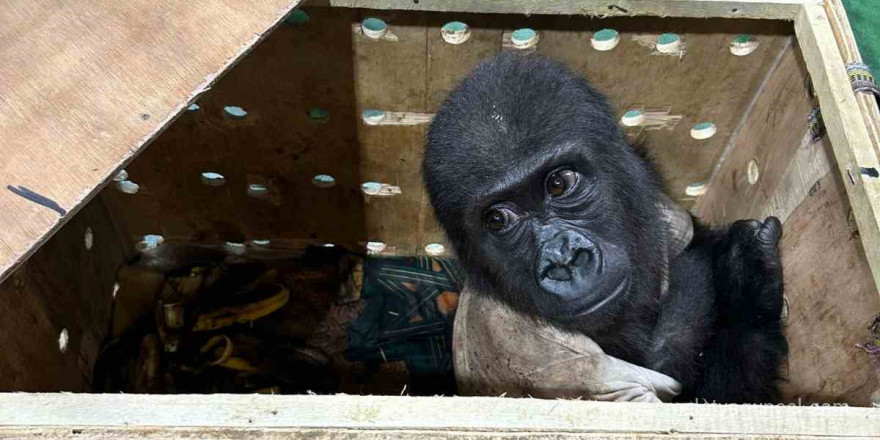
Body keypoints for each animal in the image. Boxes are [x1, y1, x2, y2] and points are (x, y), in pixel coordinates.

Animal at [422, 51, 788, 402]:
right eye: (498, 219)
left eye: (559, 184)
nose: (564, 259)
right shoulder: (548, 357)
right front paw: (747, 286)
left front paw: (745, 275)